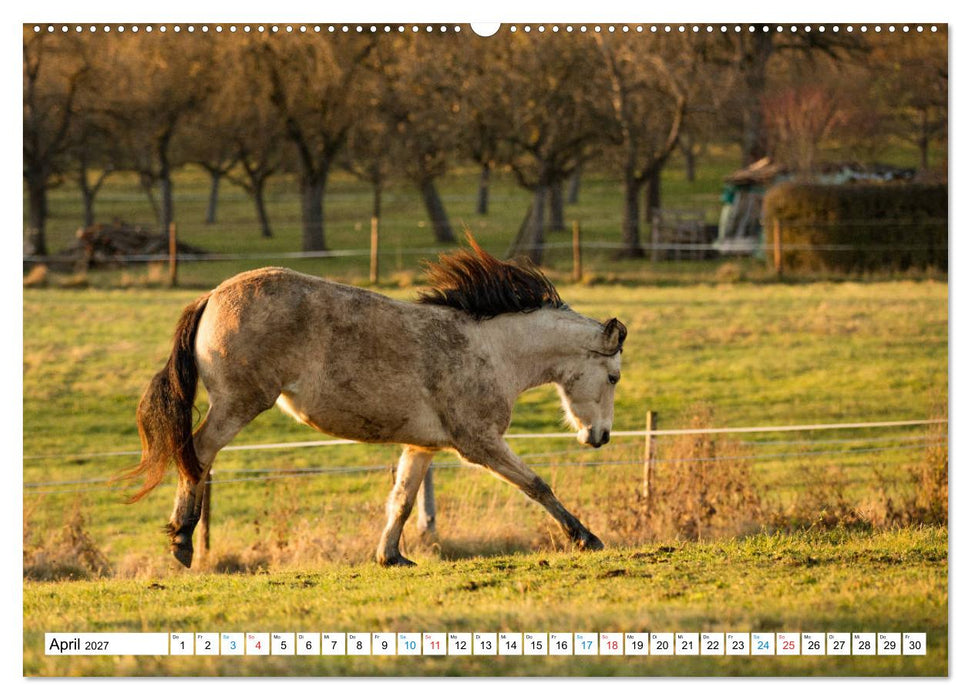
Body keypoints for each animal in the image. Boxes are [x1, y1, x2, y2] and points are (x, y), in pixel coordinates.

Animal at [126, 238, 627, 567]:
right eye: (614, 377)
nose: (600, 437)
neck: (493, 351)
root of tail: (212, 296)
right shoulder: (480, 443)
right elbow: (537, 485)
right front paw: (586, 538)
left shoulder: (424, 446)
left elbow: (401, 500)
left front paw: (391, 557)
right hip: (238, 403)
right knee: (197, 453)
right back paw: (182, 542)